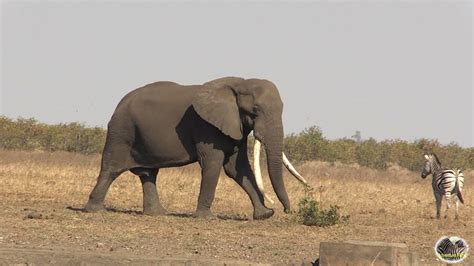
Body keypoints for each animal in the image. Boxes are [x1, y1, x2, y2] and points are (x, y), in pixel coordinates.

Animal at [84, 76, 308, 219]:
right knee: (112, 168)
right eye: (255, 110)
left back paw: (157, 214)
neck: (238, 83)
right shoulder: (204, 126)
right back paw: (94, 210)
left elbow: (237, 168)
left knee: (148, 174)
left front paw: (264, 215)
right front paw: (206, 217)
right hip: (121, 131)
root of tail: (118, 104)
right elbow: (214, 164)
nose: (288, 211)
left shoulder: (235, 125)